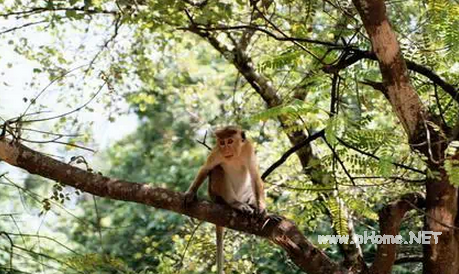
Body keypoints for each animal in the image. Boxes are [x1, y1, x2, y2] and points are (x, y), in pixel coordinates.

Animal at [184, 126, 280, 274]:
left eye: (230, 141)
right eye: (222, 142)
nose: (226, 148)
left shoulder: (248, 149)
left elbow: (254, 175)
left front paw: (262, 210)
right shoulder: (217, 151)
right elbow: (206, 169)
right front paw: (190, 193)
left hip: (243, 195)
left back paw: (254, 207)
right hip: (216, 195)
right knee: (217, 169)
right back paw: (235, 204)